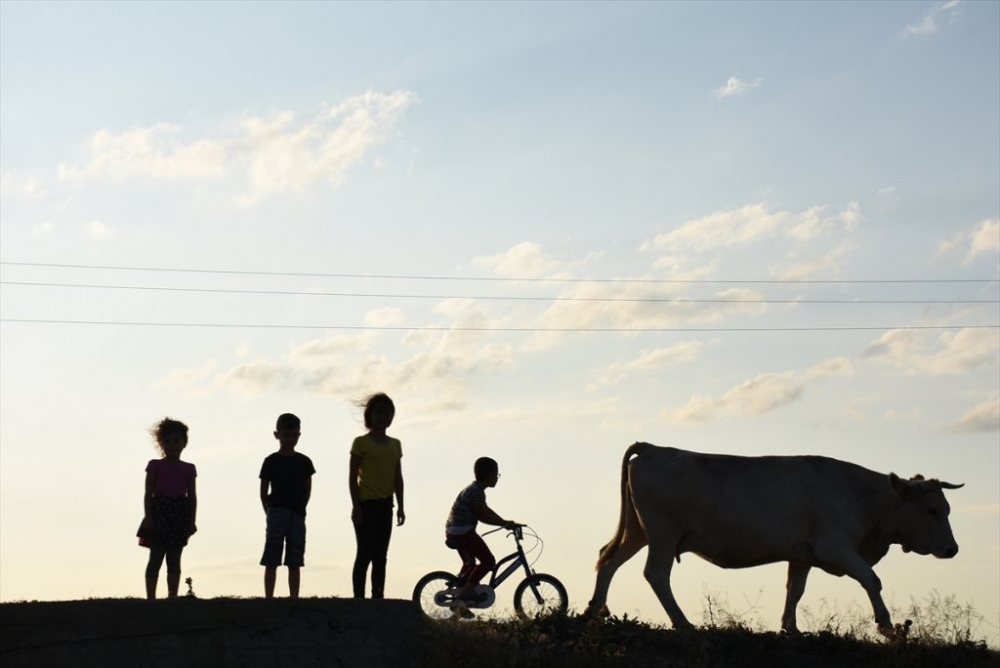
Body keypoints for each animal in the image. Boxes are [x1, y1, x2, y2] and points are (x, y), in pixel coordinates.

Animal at [584, 440, 960, 636]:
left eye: (946, 507)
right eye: (932, 510)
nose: (952, 549)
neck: (863, 496)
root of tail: (656, 447)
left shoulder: (802, 554)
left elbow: (795, 590)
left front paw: (790, 629)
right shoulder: (835, 547)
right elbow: (871, 579)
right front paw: (887, 626)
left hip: (638, 531)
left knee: (607, 559)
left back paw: (595, 610)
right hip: (663, 532)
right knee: (656, 574)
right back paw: (683, 623)